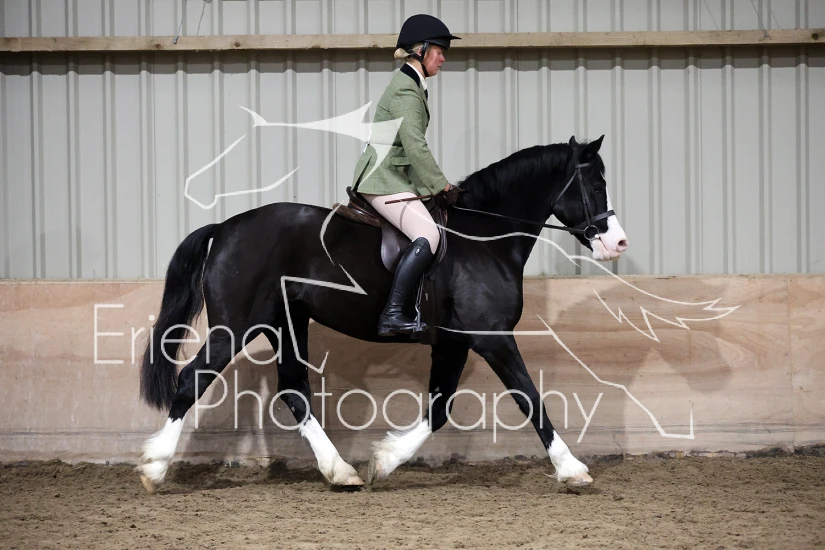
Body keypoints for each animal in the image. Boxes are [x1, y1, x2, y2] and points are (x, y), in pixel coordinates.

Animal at [136, 134, 629, 493]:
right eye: (595, 185)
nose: (617, 243)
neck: (484, 237)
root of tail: (224, 227)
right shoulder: (491, 337)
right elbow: (530, 397)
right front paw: (572, 468)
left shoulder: (452, 342)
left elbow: (439, 408)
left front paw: (383, 461)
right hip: (236, 326)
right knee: (192, 379)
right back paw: (155, 468)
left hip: (286, 323)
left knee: (294, 390)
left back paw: (340, 472)